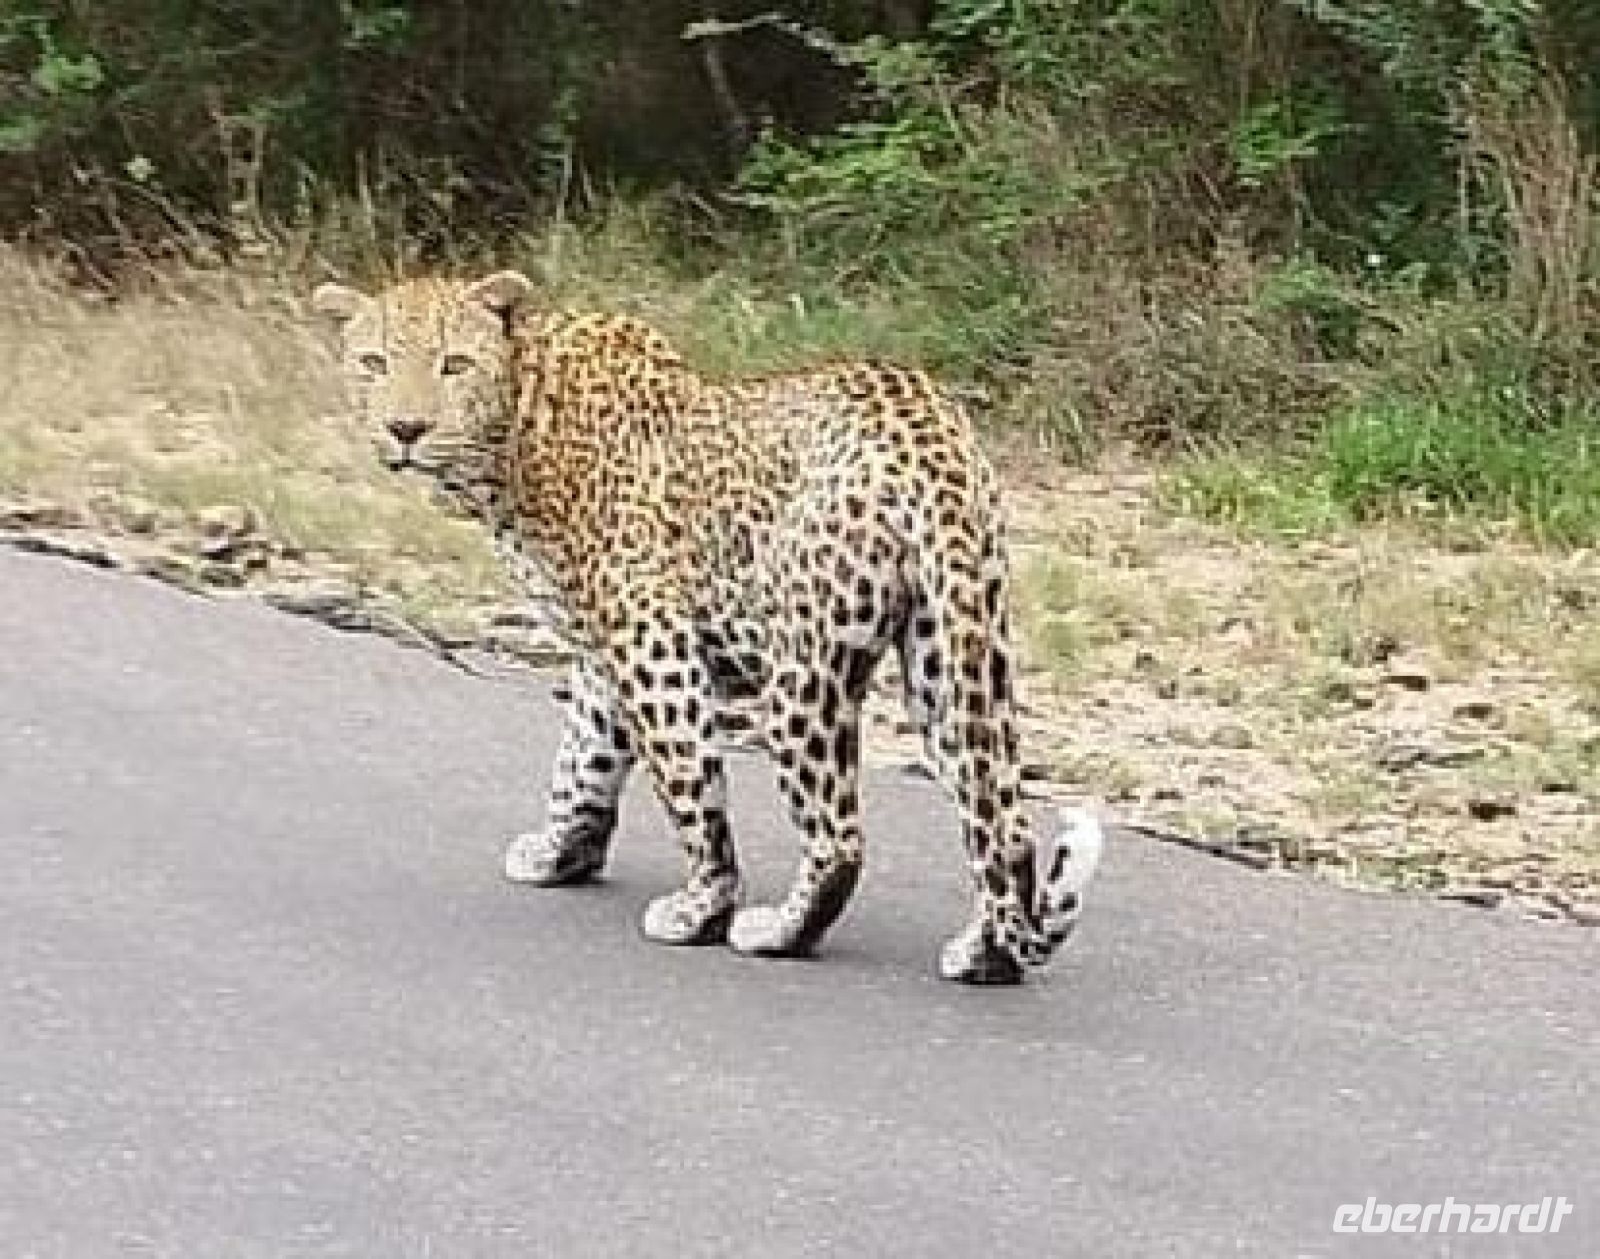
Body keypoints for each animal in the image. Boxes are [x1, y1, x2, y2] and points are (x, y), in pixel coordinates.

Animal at [313, 271, 1103, 983]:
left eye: (454, 364)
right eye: (372, 363)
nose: (404, 429)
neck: (516, 429)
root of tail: (929, 432)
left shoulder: (650, 640)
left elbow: (687, 783)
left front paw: (700, 907)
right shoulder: (600, 652)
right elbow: (582, 758)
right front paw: (561, 853)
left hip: (800, 681)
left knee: (841, 839)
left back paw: (777, 931)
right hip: (954, 657)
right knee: (1003, 826)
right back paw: (986, 955)